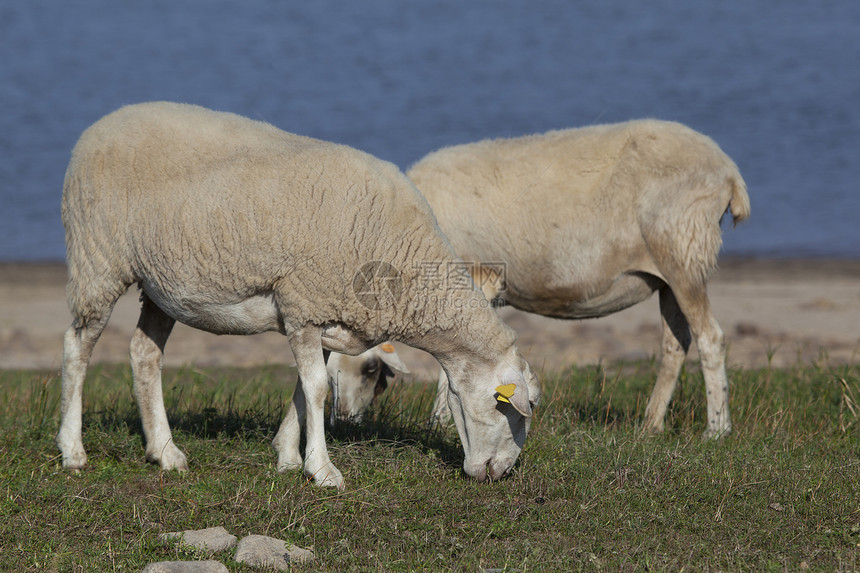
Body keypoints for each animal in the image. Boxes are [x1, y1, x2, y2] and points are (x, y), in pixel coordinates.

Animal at [55, 99, 536, 488]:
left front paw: (287, 456)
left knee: (144, 353)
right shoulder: (304, 303)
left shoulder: (322, 315)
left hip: (162, 284)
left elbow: (305, 389)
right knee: (78, 347)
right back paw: (73, 450)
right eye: (511, 407)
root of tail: (102, 124)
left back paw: (164, 452)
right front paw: (322, 470)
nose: (500, 473)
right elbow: (318, 389)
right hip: (97, 258)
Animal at [406, 118, 748, 436]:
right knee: (675, 345)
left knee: (711, 338)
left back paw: (717, 429)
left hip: (684, 252)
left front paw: (441, 421)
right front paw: (441, 422)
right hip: (668, 273)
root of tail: (728, 171)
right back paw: (651, 424)